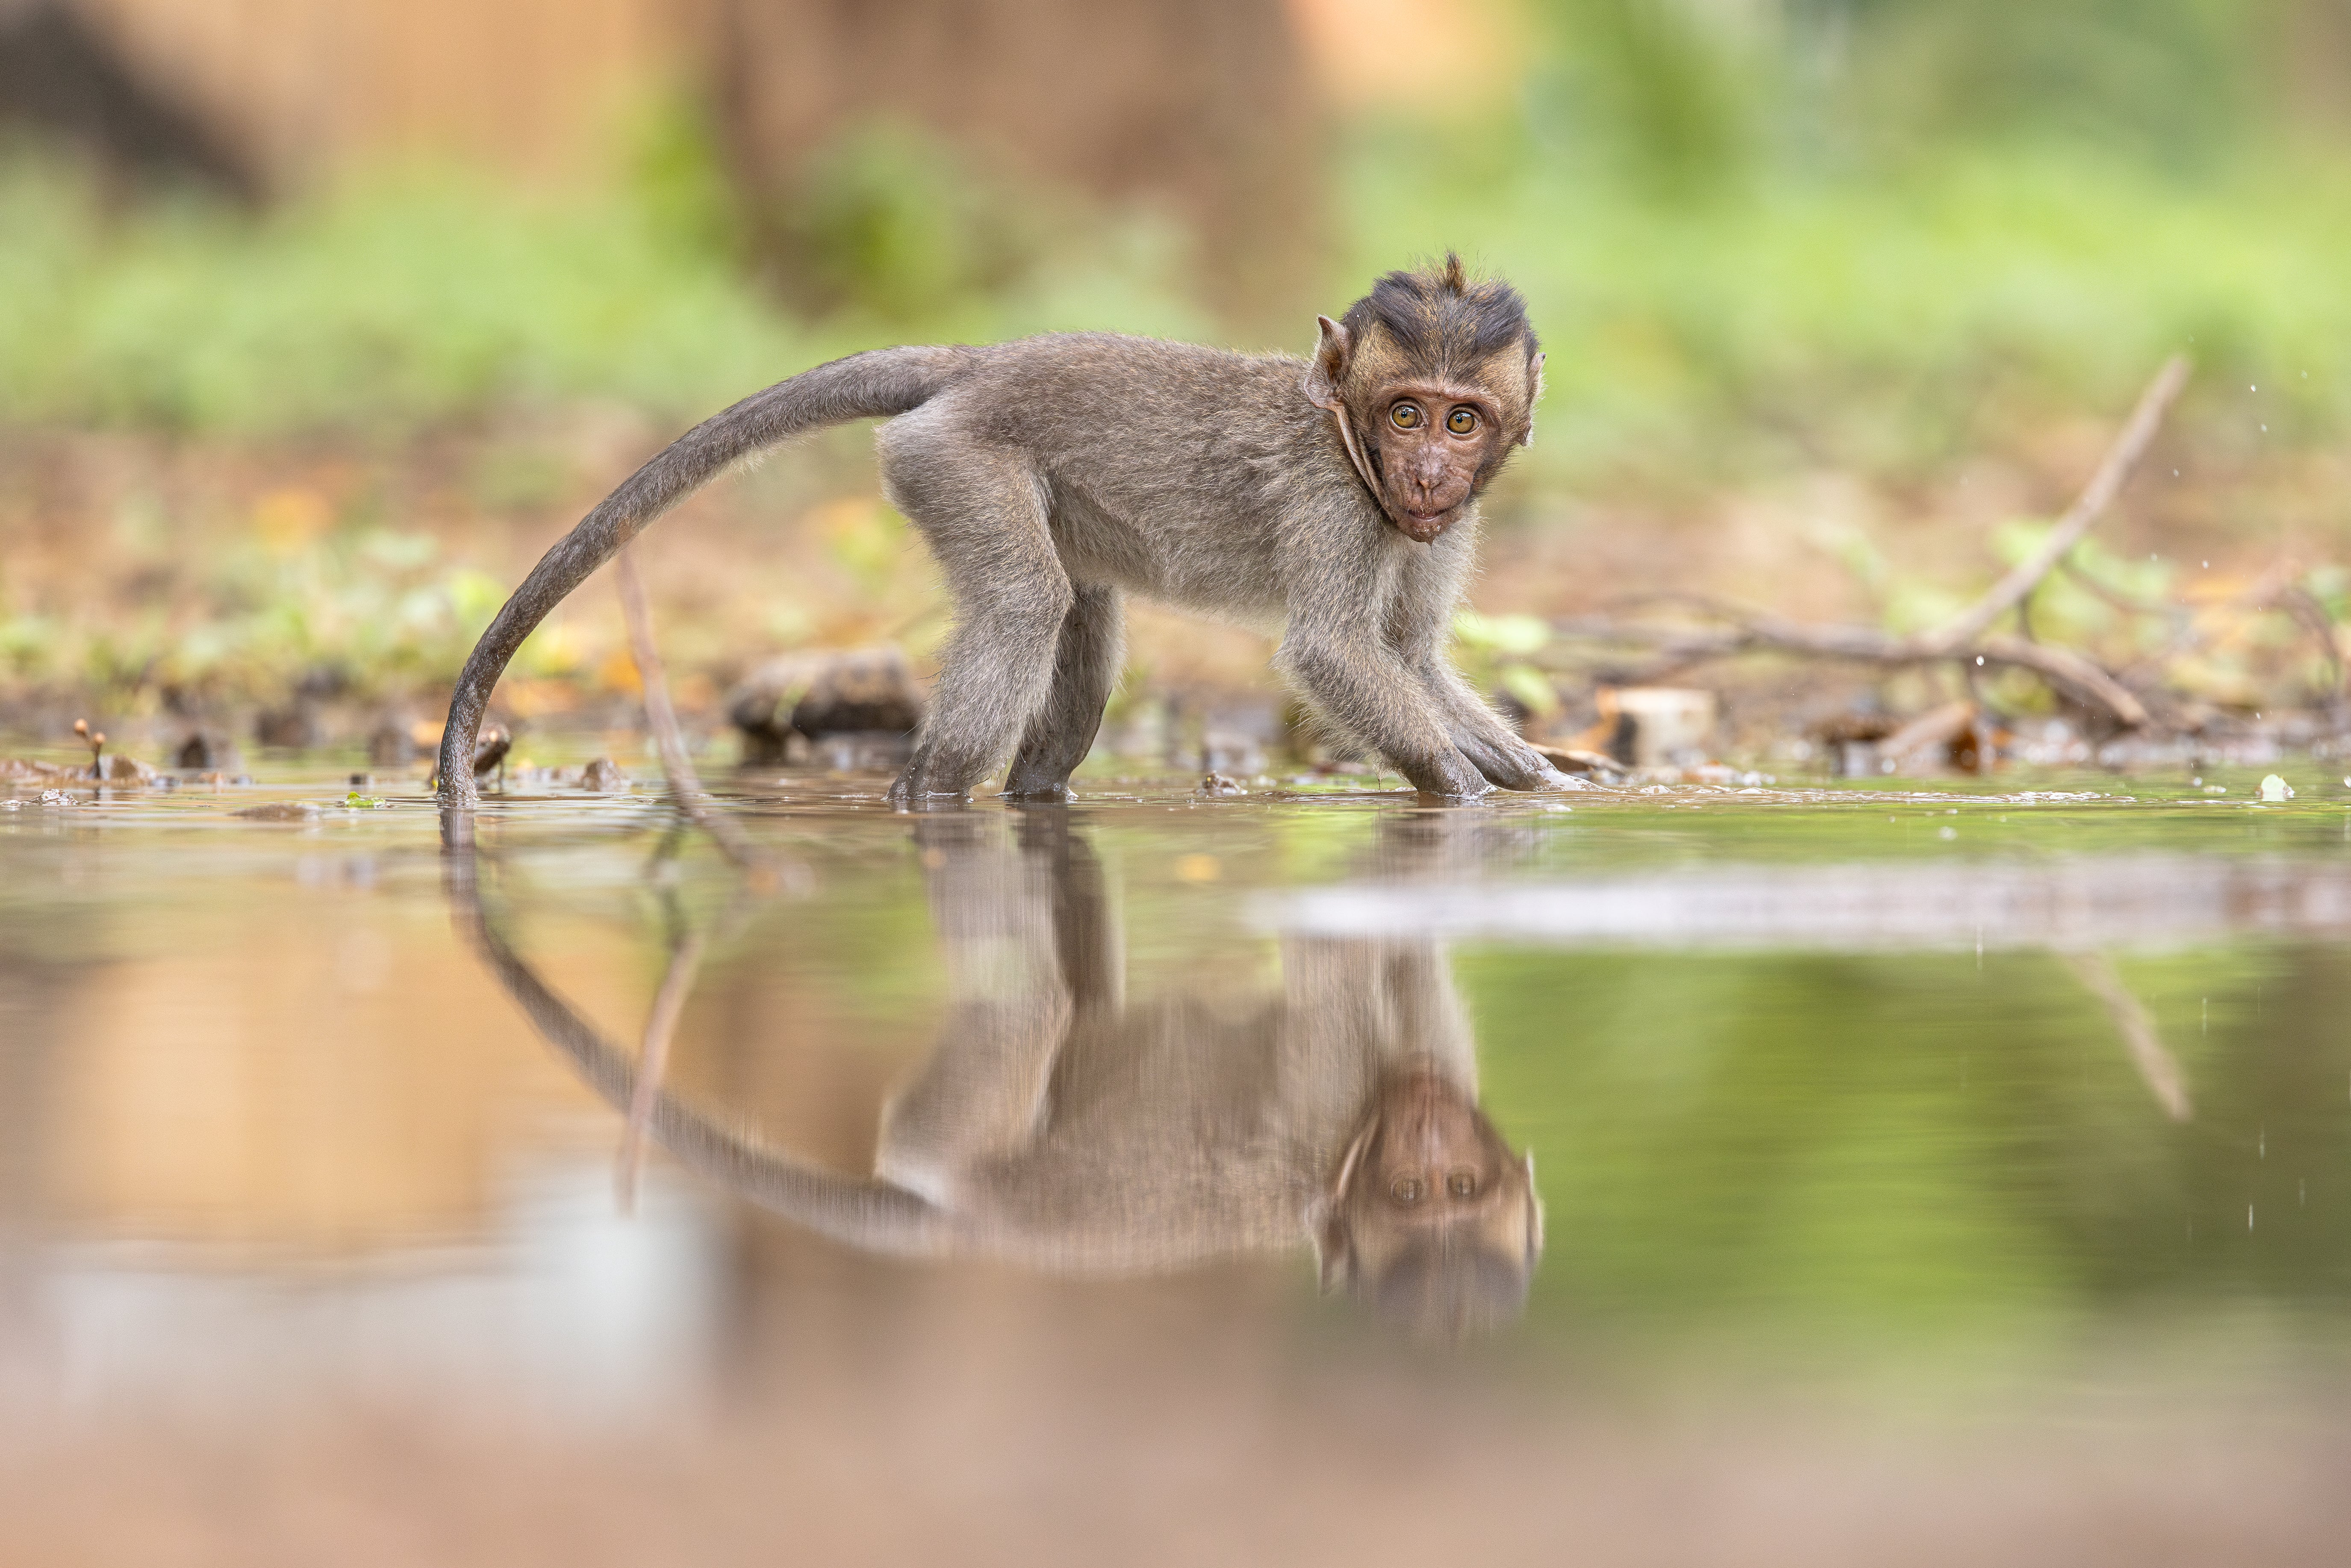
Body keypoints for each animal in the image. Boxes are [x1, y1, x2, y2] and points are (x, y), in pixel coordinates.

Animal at [435, 255, 1589, 808]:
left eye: (1460, 420)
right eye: (1405, 415)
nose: (1428, 473)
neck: (1348, 441)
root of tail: (974, 363)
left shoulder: (1427, 528)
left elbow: (1408, 656)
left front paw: (1549, 783)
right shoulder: (1335, 505)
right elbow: (1333, 653)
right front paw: (1464, 793)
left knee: (1078, 647)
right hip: (950, 460)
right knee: (1027, 606)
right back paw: (928, 795)